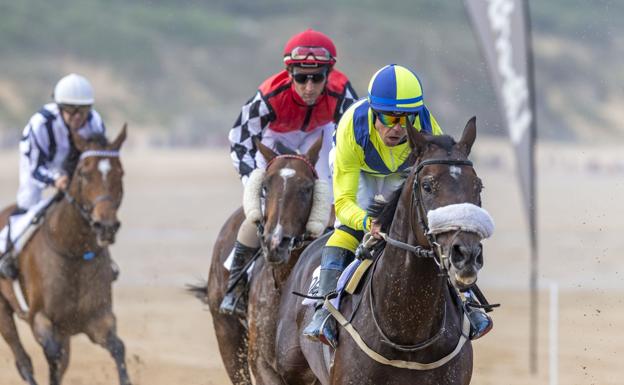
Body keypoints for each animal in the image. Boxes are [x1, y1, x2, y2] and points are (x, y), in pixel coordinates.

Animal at [0, 126, 129, 384]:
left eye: (120, 173)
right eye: (84, 173)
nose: (106, 226)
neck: (73, 252)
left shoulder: (97, 319)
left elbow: (118, 348)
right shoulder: (40, 319)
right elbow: (52, 355)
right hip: (3, 310)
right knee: (23, 360)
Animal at [191, 135, 332, 384]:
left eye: (307, 188)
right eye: (265, 186)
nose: (276, 242)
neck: (283, 283)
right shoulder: (261, 362)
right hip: (226, 332)